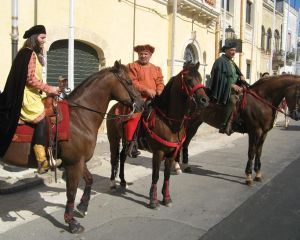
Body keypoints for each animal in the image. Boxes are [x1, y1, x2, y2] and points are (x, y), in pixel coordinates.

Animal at [1, 61, 144, 233]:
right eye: (129, 82)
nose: (142, 103)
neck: (80, 118)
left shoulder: (79, 161)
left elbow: (89, 180)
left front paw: (83, 206)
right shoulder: (73, 164)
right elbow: (71, 192)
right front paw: (71, 222)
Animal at [105, 62, 209, 209]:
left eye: (200, 78)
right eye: (189, 80)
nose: (205, 100)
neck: (168, 121)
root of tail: (113, 108)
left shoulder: (171, 154)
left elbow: (166, 176)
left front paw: (166, 198)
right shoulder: (158, 153)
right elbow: (155, 176)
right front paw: (153, 200)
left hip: (126, 141)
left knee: (122, 157)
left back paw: (124, 181)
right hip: (113, 139)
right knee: (114, 159)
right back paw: (113, 183)